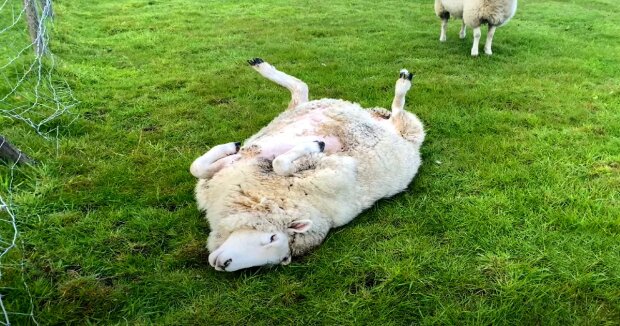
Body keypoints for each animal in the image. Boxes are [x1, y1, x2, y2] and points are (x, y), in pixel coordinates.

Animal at [191, 59, 426, 272]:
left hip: (405, 131)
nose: (223, 264)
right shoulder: (229, 170)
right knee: (301, 89)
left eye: (273, 238)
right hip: (295, 111)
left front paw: (314, 145)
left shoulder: (337, 168)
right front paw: (230, 148)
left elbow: (280, 163)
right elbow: (197, 167)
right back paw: (261, 67)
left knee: (398, 111)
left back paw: (403, 83)